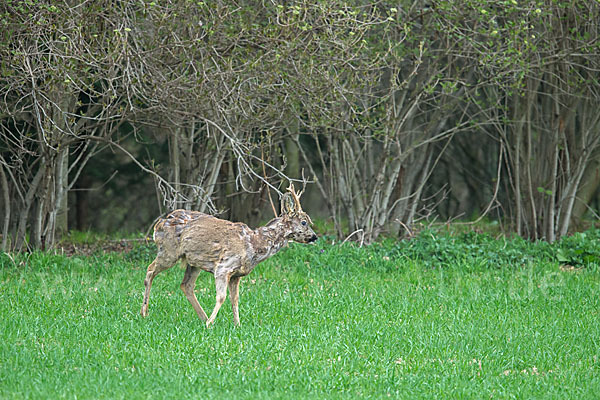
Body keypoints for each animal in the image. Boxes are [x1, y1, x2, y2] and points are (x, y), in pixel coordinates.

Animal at [141, 186, 318, 326]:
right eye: (304, 222)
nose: (315, 237)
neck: (254, 245)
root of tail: (159, 225)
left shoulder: (237, 275)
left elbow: (235, 299)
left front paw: (237, 324)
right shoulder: (223, 267)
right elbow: (221, 296)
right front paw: (211, 324)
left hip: (193, 261)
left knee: (186, 285)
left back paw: (203, 317)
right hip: (169, 251)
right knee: (150, 270)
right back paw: (145, 312)